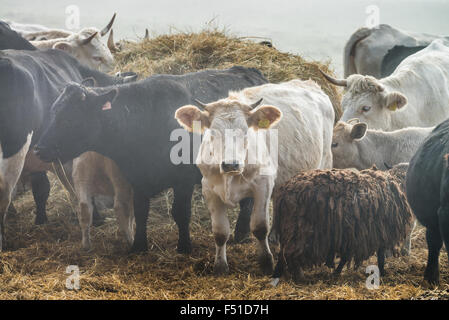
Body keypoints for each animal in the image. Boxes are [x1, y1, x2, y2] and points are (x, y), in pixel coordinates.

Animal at [36, 66, 266, 254]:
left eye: (69, 119)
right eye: (53, 111)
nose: (39, 148)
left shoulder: (182, 179)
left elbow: (180, 212)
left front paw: (184, 246)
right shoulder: (137, 177)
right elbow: (140, 211)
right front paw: (139, 246)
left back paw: (241, 233)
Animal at [174, 80, 332, 276]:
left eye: (245, 132)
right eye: (213, 133)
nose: (231, 164)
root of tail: (308, 82)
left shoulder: (263, 185)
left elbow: (259, 227)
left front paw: (266, 262)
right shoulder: (209, 189)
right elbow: (220, 232)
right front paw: (220, 266)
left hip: (324, 162)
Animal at [270, 164, 412, 284]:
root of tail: (283, 192)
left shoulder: (351, 234)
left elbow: (346, 256)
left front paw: (337, 272)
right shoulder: (381, 232)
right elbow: (381, 257)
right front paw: (382, 273)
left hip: (289, 229)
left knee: (282, 254)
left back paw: (276, 274)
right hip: (299, 230)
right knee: (290, 254)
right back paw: (300, 277)